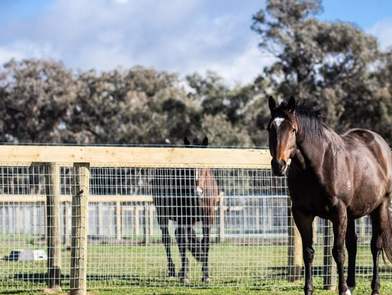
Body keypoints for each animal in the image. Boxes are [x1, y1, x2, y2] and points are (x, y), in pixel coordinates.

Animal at [153, 137, 220, 284]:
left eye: (204, 167)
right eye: (187, 167)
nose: (197, 192)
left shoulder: (208, 218)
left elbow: (205, 242)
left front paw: (206, 274)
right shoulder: (183, 217)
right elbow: (182, 242)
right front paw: (184, 276)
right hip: (162, 215)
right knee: (167, 239)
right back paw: (173, 270)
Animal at [266, 97, 392, 295]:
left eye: (293, 129)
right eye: (270, 128)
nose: (279, 165)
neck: (317, 165)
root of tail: (380, 144)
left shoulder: (338, 212)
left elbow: (338, 252)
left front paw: (342, 290)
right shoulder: (302, 213)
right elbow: (308, 252)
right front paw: (309, 290)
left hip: (380, 207)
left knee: (375, 246)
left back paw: (374, 288)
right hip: (352, 213)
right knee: (353, 244)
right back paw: (352, 284)